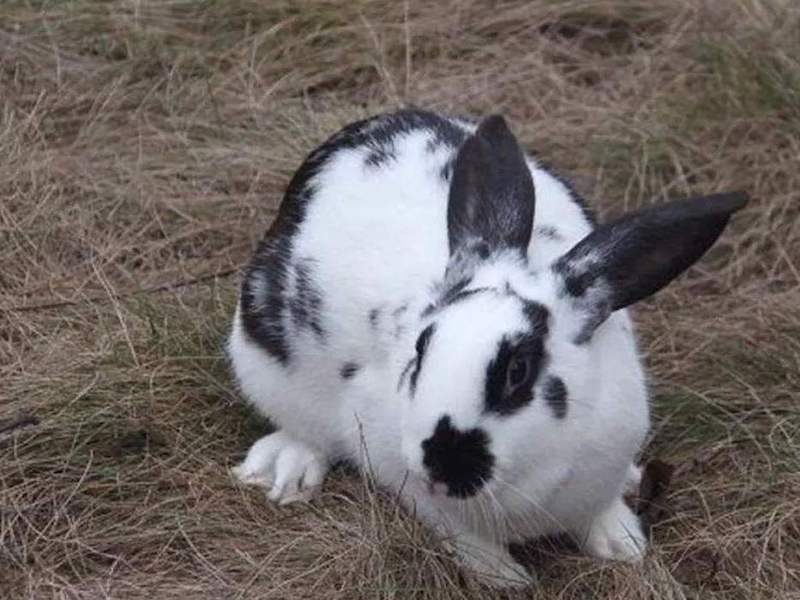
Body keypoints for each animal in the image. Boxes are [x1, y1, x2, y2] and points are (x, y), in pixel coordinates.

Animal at [227, 108, 752, 584]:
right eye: (421, 348)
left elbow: (599, 510)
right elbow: (463, 539)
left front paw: (623, 545)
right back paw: (285, 472)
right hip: (263, 367)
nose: (441, 461)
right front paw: (508, 579)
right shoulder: (406, 480)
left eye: (518, 370)